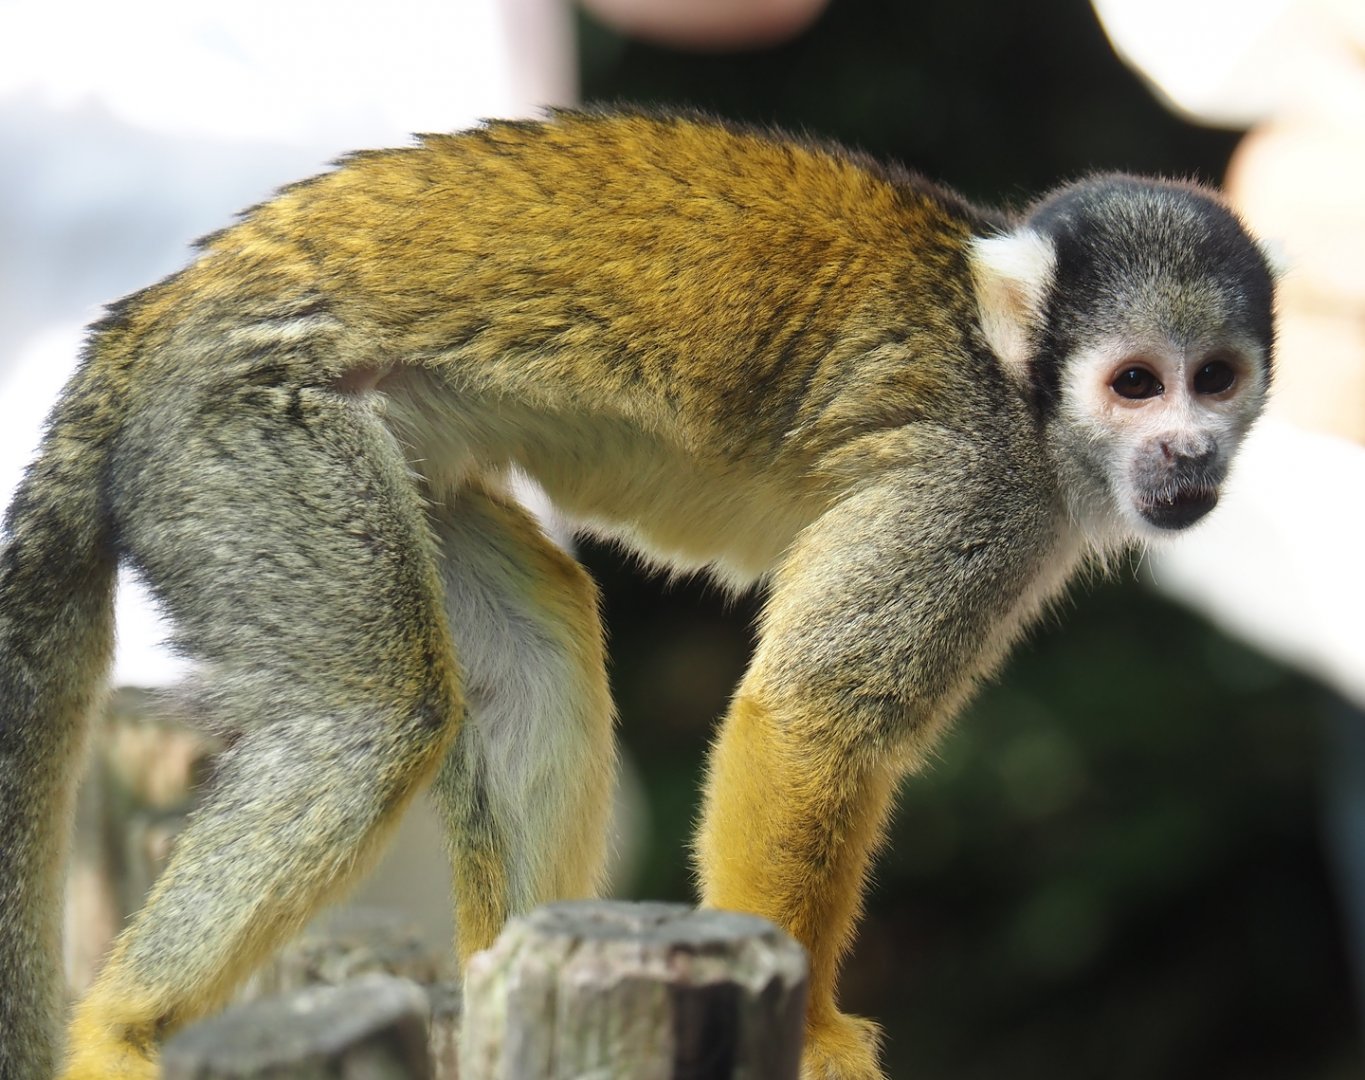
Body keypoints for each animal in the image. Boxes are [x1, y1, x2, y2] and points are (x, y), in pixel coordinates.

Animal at [0, 109, 1274, 1080]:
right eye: (1135, 384)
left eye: (1215, 380)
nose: (1190, 452)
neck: (1021, 391)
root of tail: (158, 311)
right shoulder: (978, 486)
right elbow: (813, 715)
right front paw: (814, 1038)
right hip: (245, 431)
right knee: (370, 722)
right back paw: (119, 1031)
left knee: (532, 647)